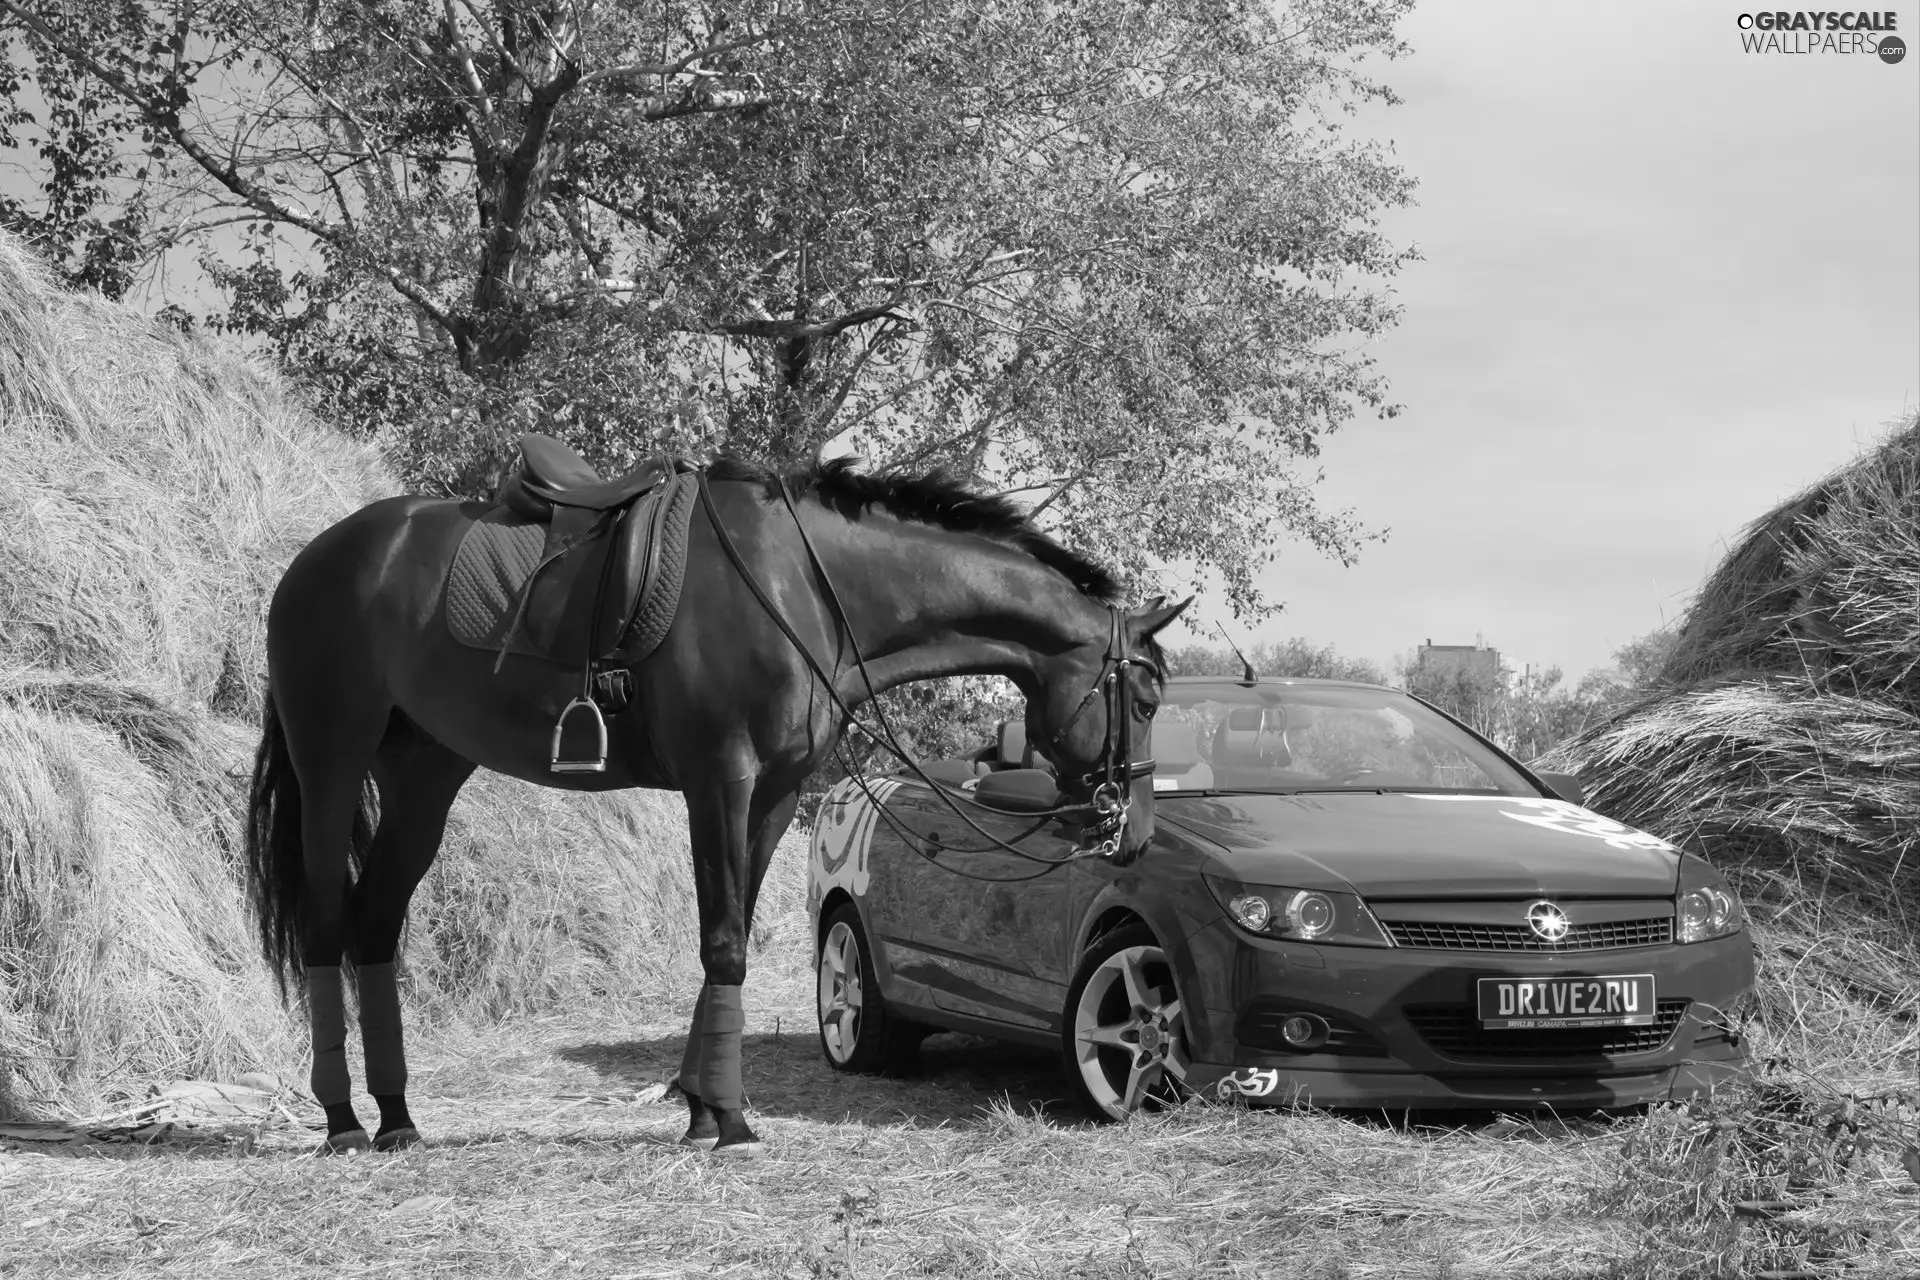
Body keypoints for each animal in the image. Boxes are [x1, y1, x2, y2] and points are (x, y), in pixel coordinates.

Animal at [243, 452, 1182, 1159]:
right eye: (1142, 696)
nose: (1133, 831)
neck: (806, 585)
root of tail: (314, 561)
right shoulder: (721, 782)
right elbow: (725, 941)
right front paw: (728, 1120)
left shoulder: (770, 796)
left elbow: (722, 942)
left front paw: (700, 1107)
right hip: (332, 765)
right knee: (327, 925)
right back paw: (342, 1121)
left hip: (424, 777)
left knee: (374, 926)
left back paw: (398, 1119)